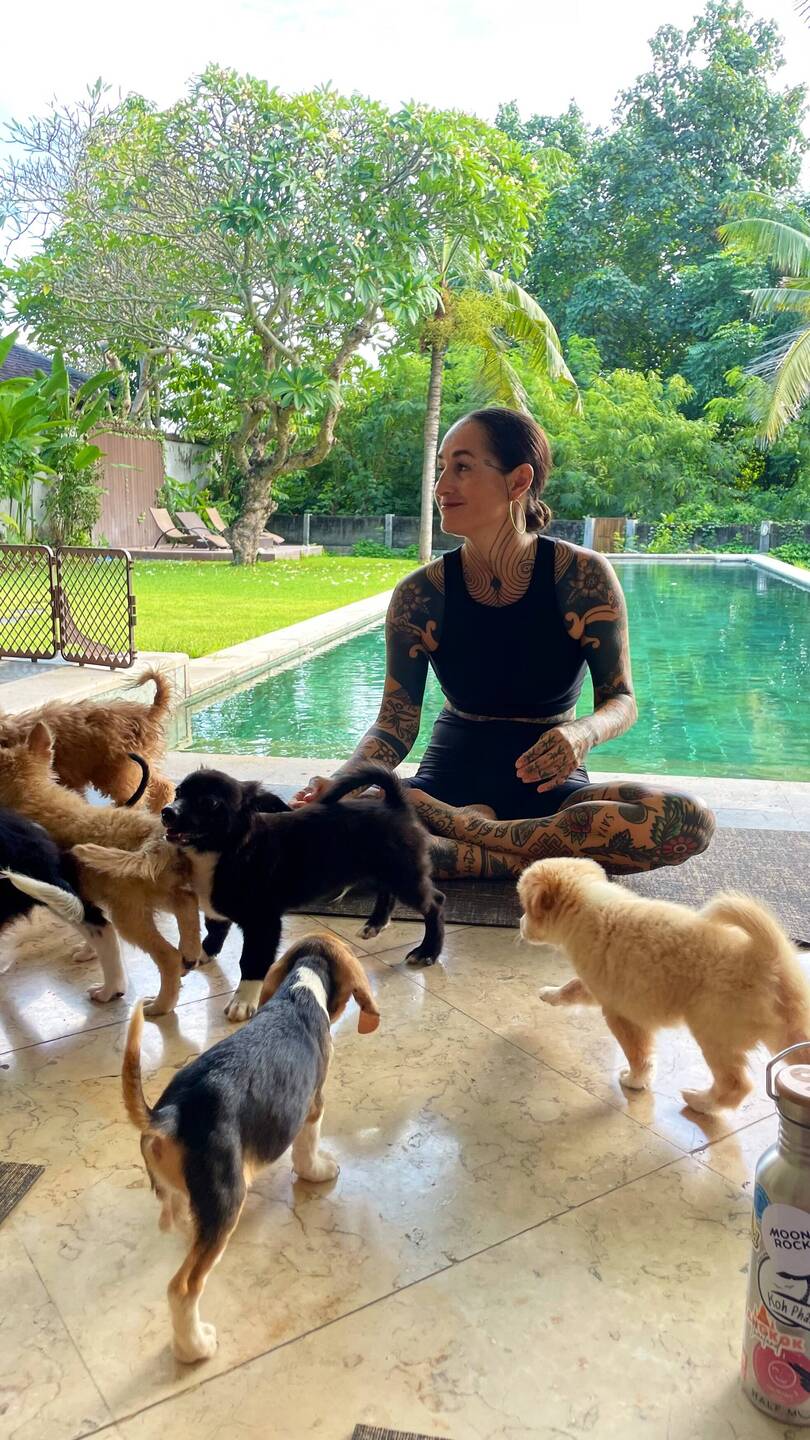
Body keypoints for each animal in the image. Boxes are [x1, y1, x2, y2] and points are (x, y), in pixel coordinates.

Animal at [122, 931, 380, 1363]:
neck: (299, 989)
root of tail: (171, 1113)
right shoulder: (313, 1104)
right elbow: (307, 1150)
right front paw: (320, 1171)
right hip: (226, 1201)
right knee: (183, 1288)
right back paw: (195, 1347)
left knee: (176, 1215)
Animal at [154, 761, 445, 1020]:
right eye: (178, 793)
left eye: (209, 803)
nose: (167, 812)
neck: (227, 850)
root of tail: (394, 804)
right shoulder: (216, 907)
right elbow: (214, 932)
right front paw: (199, 954)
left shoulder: (264, 924)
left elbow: (252, 961)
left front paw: (243, 1001)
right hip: (381, 872)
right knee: (387, 892)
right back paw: (375, 924)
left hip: (405, 877)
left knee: (435, 904)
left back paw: (427, 951)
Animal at [517, 857, 810, 1114]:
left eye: (526, 909)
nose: (519, 924)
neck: (583, 904)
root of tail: (769, 955)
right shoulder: (597, 986)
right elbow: (572, 987)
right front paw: (549, 994)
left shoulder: (619, 1013)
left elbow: (637, 1054)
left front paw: (635, 1081)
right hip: (788, 1034)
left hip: (714, 1032)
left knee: (735, 1085)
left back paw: (701, 1102)